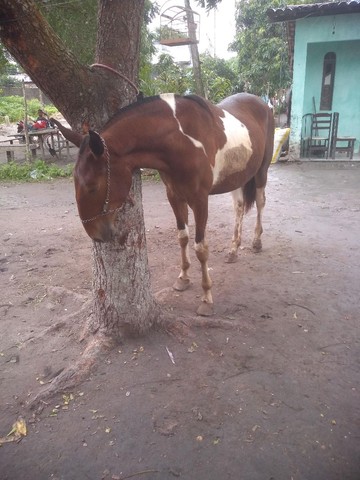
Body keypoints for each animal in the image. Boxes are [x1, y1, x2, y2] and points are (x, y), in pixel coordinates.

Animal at [52, 94, 274, 318]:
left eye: (92, 186)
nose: (96, 235)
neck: (181, 139)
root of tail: (262, 104)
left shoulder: (200, 200)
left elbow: (200, 248)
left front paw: (206, 298)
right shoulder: (174, 196)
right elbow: (182, 237)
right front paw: (183, 278)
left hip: (261, 171)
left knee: (261, 202)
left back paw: (256, 241)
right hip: (237, 177)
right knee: (239, 207)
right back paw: (233, 249)